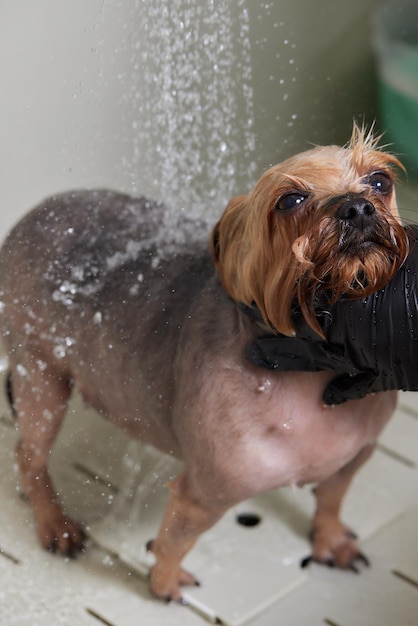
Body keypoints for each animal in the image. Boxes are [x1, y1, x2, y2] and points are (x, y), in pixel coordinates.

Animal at [0, 123, 408, 600]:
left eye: (380, 181)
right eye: (290, 200)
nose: (357, 206)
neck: (312, 375)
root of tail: (31, 217)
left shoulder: (354, 456)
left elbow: (330, 500)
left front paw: (330, 541)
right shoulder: (205, 494)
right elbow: (175, 541)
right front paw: (164, 584)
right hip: (40, 376)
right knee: (29, 455)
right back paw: (55, 524)